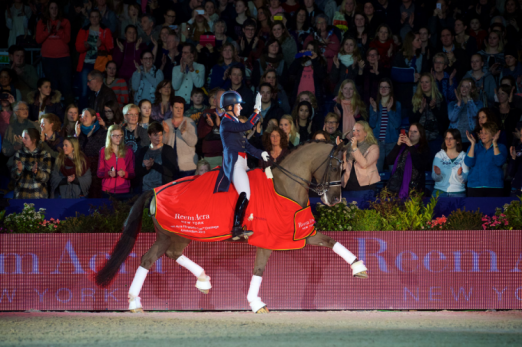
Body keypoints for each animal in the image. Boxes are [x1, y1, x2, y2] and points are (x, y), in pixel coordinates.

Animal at [95, 140, 368, 314]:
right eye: (336, 167)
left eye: (345, 168)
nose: (335, 200)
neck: (283, 186)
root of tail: (154, 190)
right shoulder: (268, 238)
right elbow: (259, 269)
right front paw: (256, 303)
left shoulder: (298, 232)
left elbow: (331, 241)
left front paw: (359, 268)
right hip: (178, 233)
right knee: (159, 257)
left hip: (170, 236)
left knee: (151, 258)